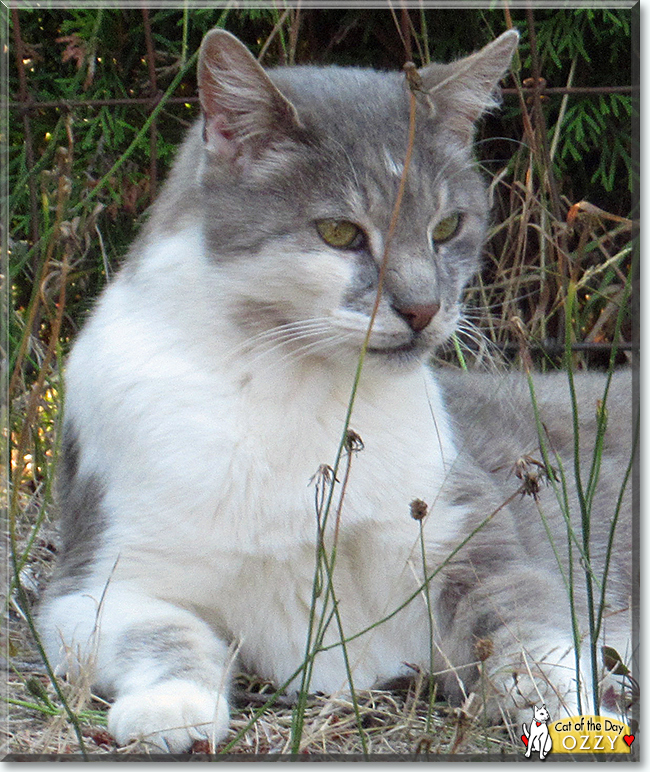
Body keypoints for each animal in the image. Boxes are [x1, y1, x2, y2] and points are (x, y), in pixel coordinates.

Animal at [36, 25, 632, 752]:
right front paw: (171, 708)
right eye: (340, 232)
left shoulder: (471, 542)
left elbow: (529, 632)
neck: (295, 389)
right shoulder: (93, 584)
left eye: (447, 227)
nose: (423, 308)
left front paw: (576, 714)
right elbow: (160, 629)